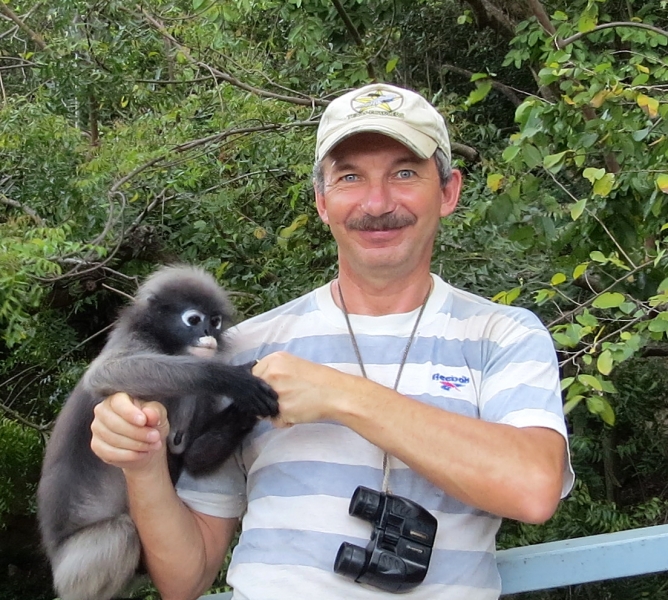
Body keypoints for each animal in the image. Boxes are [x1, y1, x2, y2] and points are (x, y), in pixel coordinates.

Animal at [37, 266, 278, 600]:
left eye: (215, 321)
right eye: (193, 319)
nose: (208, 333)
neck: (170, 347)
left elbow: (193, 456)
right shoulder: (136, 342)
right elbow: (105, 373)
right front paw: (233, 379)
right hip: (74, 574)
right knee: (121, 534)